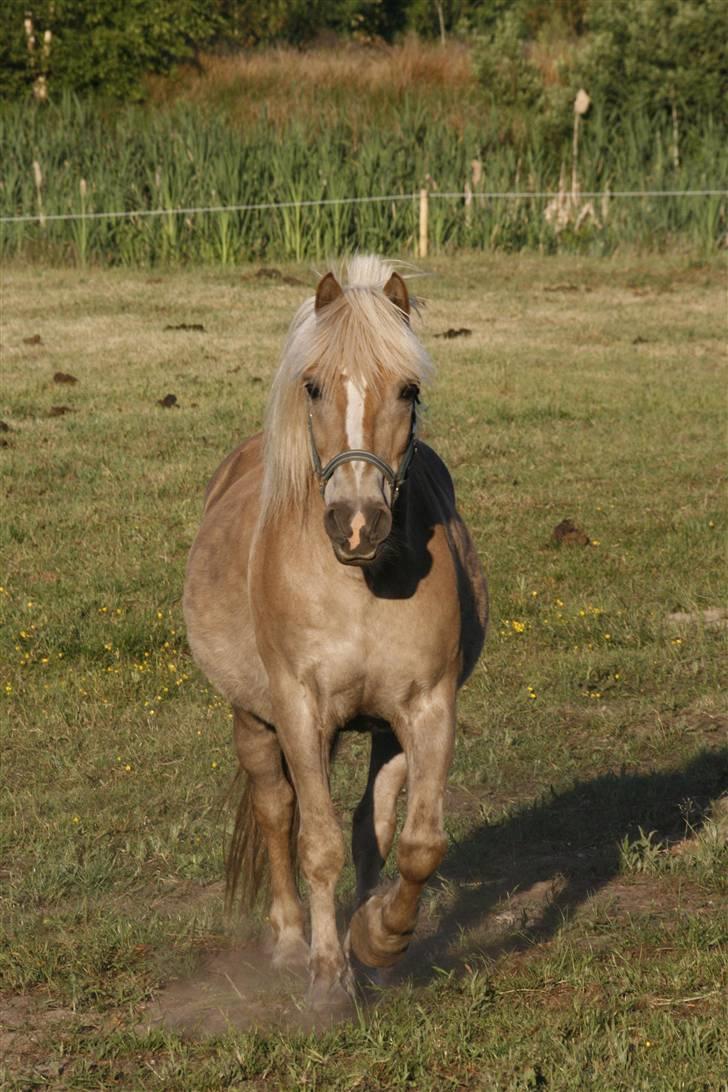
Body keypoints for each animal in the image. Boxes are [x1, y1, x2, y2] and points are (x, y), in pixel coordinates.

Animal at [183, 253, 488, 1004]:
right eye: (314, 386)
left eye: (408, 389)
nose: (356, 523)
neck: (358, 586)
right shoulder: (299, 710)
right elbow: (314, 841)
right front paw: (327, 974)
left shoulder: (426, 708)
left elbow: (414, 843)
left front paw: (377, 939)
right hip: (254, 721)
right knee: (277, 813)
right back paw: (293, 941)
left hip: (381, 729)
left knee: (367, 827)